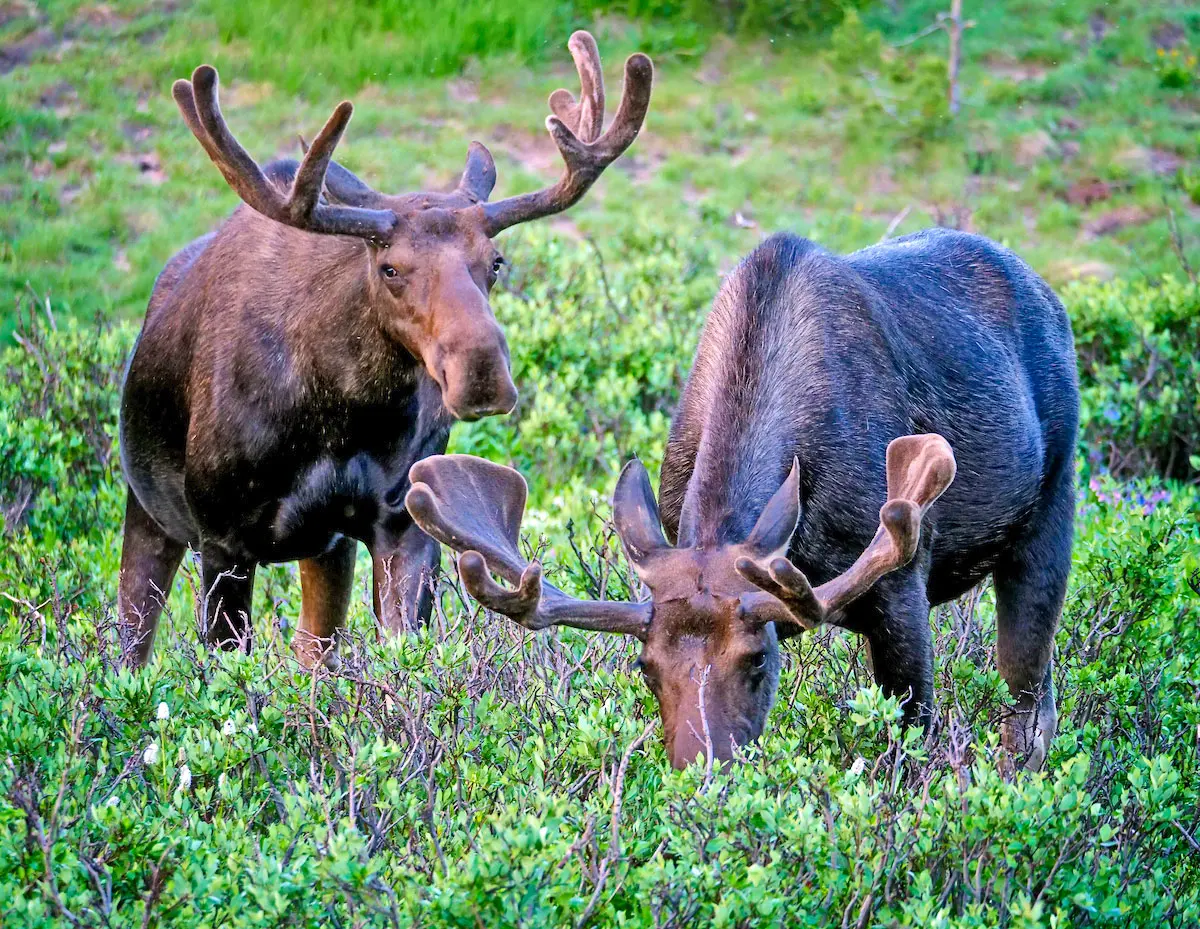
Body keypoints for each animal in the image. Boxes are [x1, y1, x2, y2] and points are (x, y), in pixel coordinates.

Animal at [117, 32, 653, 669]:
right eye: (390, 267)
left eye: (496, 262)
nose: (481, 374)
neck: (339, 416)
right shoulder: (223, 539)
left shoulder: (402, 521)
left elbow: (404, 649)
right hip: (148, 513)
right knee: (128, 644)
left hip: (326, 548)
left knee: (312, 650)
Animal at [405, 229, 1079, 772]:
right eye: (645, 668)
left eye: (757, 660)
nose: (701, 772)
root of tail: (1048, 293)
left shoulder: (901, 582)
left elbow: (913, 741)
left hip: (1053, 505)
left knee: (1030, 704)